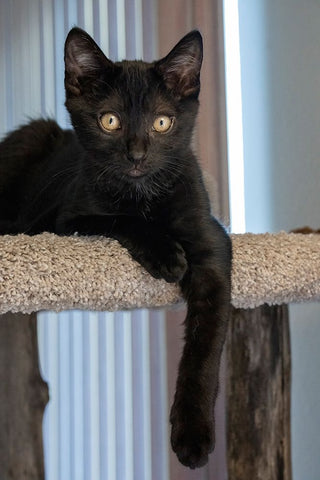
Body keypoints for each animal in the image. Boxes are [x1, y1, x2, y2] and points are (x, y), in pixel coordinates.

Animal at [0, 27, 230, 468]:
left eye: (162, 122)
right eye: (110, 121)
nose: (137, 155)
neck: (144, 196)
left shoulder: (212, 245)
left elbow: (206, 346)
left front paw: (193, 435)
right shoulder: (69, 218)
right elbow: (121, 220)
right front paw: (167, 256)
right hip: (32, 137)